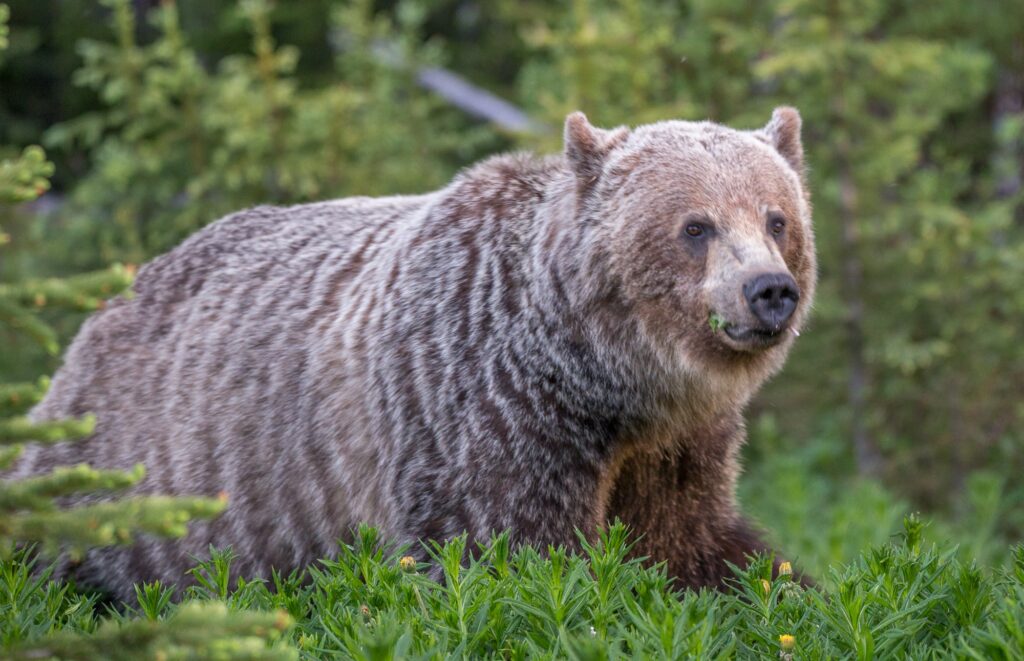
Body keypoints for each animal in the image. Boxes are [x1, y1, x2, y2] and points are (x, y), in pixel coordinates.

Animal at [8, 108, 815, 601]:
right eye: (695, 226)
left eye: (776, 218)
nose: (768, 290)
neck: (606, 381)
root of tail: (113, 301)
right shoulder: (483, 409)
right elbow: (514, 552)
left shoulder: (676, 445)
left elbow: (698, 543)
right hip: (129, 471)